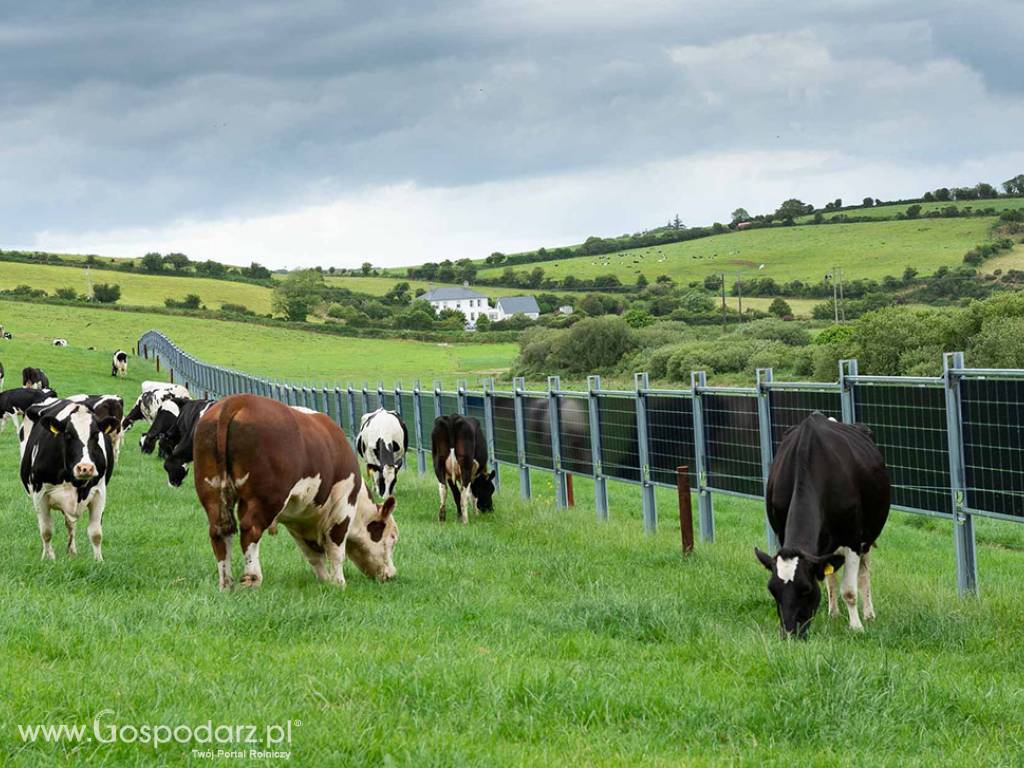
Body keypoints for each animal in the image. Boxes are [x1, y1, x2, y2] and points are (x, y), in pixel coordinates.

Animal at [19, 399, 118, 561]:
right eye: (68, 434)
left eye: (96, 434)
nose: (85, 468)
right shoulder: (39, 494)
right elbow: (46, 531)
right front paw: (49, 558)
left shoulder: (100, 492)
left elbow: (96, 533)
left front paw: (98, 561)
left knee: (70, 524)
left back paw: (72, 551)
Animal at [192, 393, 399, 593]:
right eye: (392, 538)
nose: (391, 574)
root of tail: (236, 401)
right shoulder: (342, 509)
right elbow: (336, 550)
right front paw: (339, 583)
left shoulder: (298, 522)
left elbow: (313, 555)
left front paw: (325, 581)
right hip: (265, 500)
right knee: (250, 529)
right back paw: (252, 578)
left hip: (212, 493)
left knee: (220, 531)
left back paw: (226, 583)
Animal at [753, 415, 888, 638]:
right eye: (772, 590)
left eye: (806, 589)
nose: (789, 633)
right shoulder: (782, 534)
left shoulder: (852, 539)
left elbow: (849, 590)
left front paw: (856, 627)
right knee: (831, 577)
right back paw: (833, 612)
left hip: (867, 537)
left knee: (863, 573)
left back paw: (869, 613)